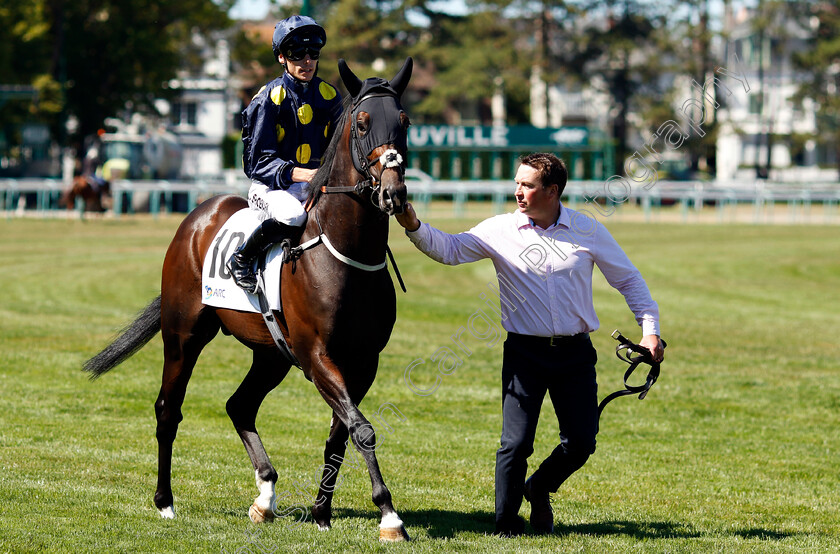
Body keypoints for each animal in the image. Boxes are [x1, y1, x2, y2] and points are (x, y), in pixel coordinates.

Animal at [83, 59, 414, 540]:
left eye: (404, 123)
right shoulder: (317, 355)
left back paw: (265, 496)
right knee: (168, 409)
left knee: (239, 405)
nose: (392, 193)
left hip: (270, 353)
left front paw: (322, 512)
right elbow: (362, 428)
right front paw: (389, 515)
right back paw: (165, 502)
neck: (345, 254)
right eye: (362, 123)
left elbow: (342, 433)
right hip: (184, 336)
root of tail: (199, 214)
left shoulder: (363, 360)